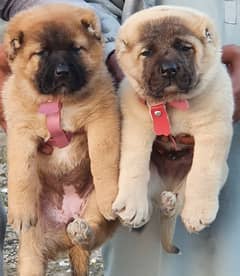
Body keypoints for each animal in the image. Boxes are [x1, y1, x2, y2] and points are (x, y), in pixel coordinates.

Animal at [2, 3, 120, 274]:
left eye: (76, 49)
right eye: (41, 53)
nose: (62, 72)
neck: (59, 101)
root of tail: (67, 221)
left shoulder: (102, 120)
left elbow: (104, 160)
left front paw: (111, 196)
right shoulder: (21, 131)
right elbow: (22, 173)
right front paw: (19, 210)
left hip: (91, 208)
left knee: (92, 232)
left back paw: (82, 232)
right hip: (32, 247)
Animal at [113, 5, 233, 253]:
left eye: (185, 48)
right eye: (147, 53)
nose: (169, 70)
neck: (173, 103)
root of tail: (167, 186)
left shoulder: (212, 129)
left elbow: (203, 173)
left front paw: (198, 212)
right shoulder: (136, 127)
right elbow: (134, 166)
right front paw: (131, 205)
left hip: (221, 172)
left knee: (178, 201)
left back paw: (172, 203)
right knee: (152, 203)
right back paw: (150, 208)